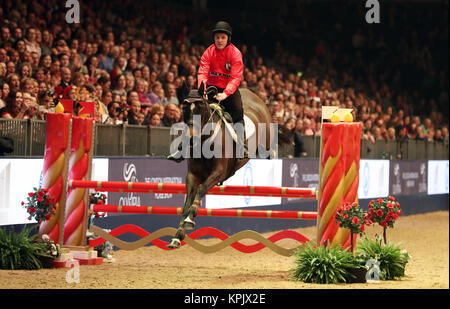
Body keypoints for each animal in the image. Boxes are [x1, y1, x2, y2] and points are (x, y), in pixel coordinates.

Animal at [167, 82, 276, 248]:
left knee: (271, 151)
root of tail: (254, 96)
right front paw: (178, 236)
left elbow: (201, 191)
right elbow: (187, 203)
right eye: (184, 106)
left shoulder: (218, 172)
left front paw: (189, 220)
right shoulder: (192, 176)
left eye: (201, 106)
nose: (190, 138)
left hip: (267, 141)